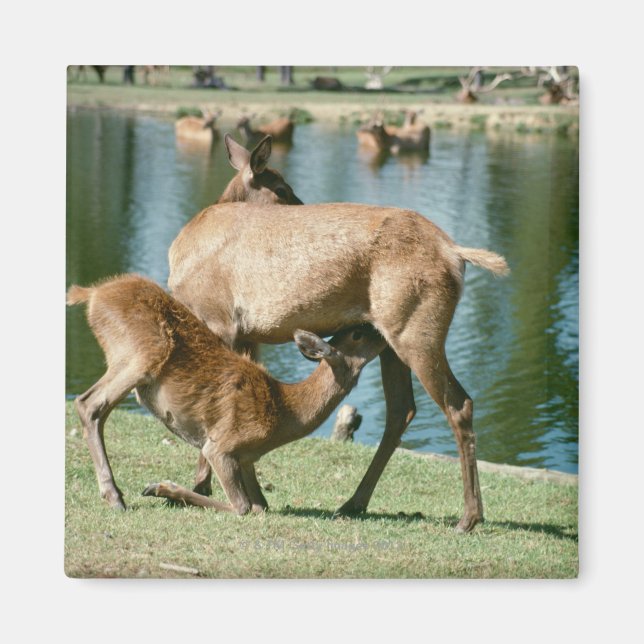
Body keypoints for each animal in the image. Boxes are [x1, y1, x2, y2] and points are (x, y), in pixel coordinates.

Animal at [67, 274, 386, 513]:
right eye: (357, 334)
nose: (381, 330)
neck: (286, 413)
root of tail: (92, 294)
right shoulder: (222, 445)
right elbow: (242, 507)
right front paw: (161, 488)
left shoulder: (246, 458)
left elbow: (261, 505)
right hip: (140, 353)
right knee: (88, 404)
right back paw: (115, 497)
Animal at [168, 197, 509, 533]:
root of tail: (456, 253)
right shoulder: (246, 336)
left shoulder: (219, 321)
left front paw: (202, 486)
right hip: (391, 339)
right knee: (402, 409)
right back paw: (353, 503)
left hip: (416, 332)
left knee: (458, 404)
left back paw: (468, 518)